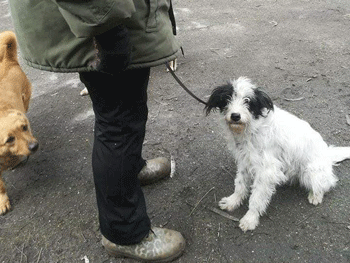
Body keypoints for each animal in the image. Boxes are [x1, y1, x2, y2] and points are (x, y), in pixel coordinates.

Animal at [205, 78, 350, 233]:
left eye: (248, 101)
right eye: (227, 98)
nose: (235, 116)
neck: (253, 127)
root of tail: (327, 153)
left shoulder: (266, 171)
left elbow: (256, 198)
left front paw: (250, 219)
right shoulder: (245, 161)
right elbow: (240, 184)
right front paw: (233, 201)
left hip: (310, 172)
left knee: (327, 183)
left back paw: (316, 195)